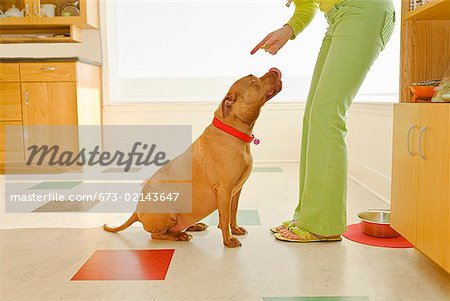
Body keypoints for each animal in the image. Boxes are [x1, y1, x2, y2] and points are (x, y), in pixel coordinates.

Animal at [103, 67, 284, 246]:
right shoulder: (224, 190)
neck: (232, 131)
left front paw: (235, 229)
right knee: (157, 235)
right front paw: (228, 240)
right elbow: (224, 217)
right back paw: (180, 236)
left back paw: (194, 226)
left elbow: (232, 213)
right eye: (253, 79)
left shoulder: (236, 191)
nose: (275, 69)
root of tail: (136, 212)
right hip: (167, 214)